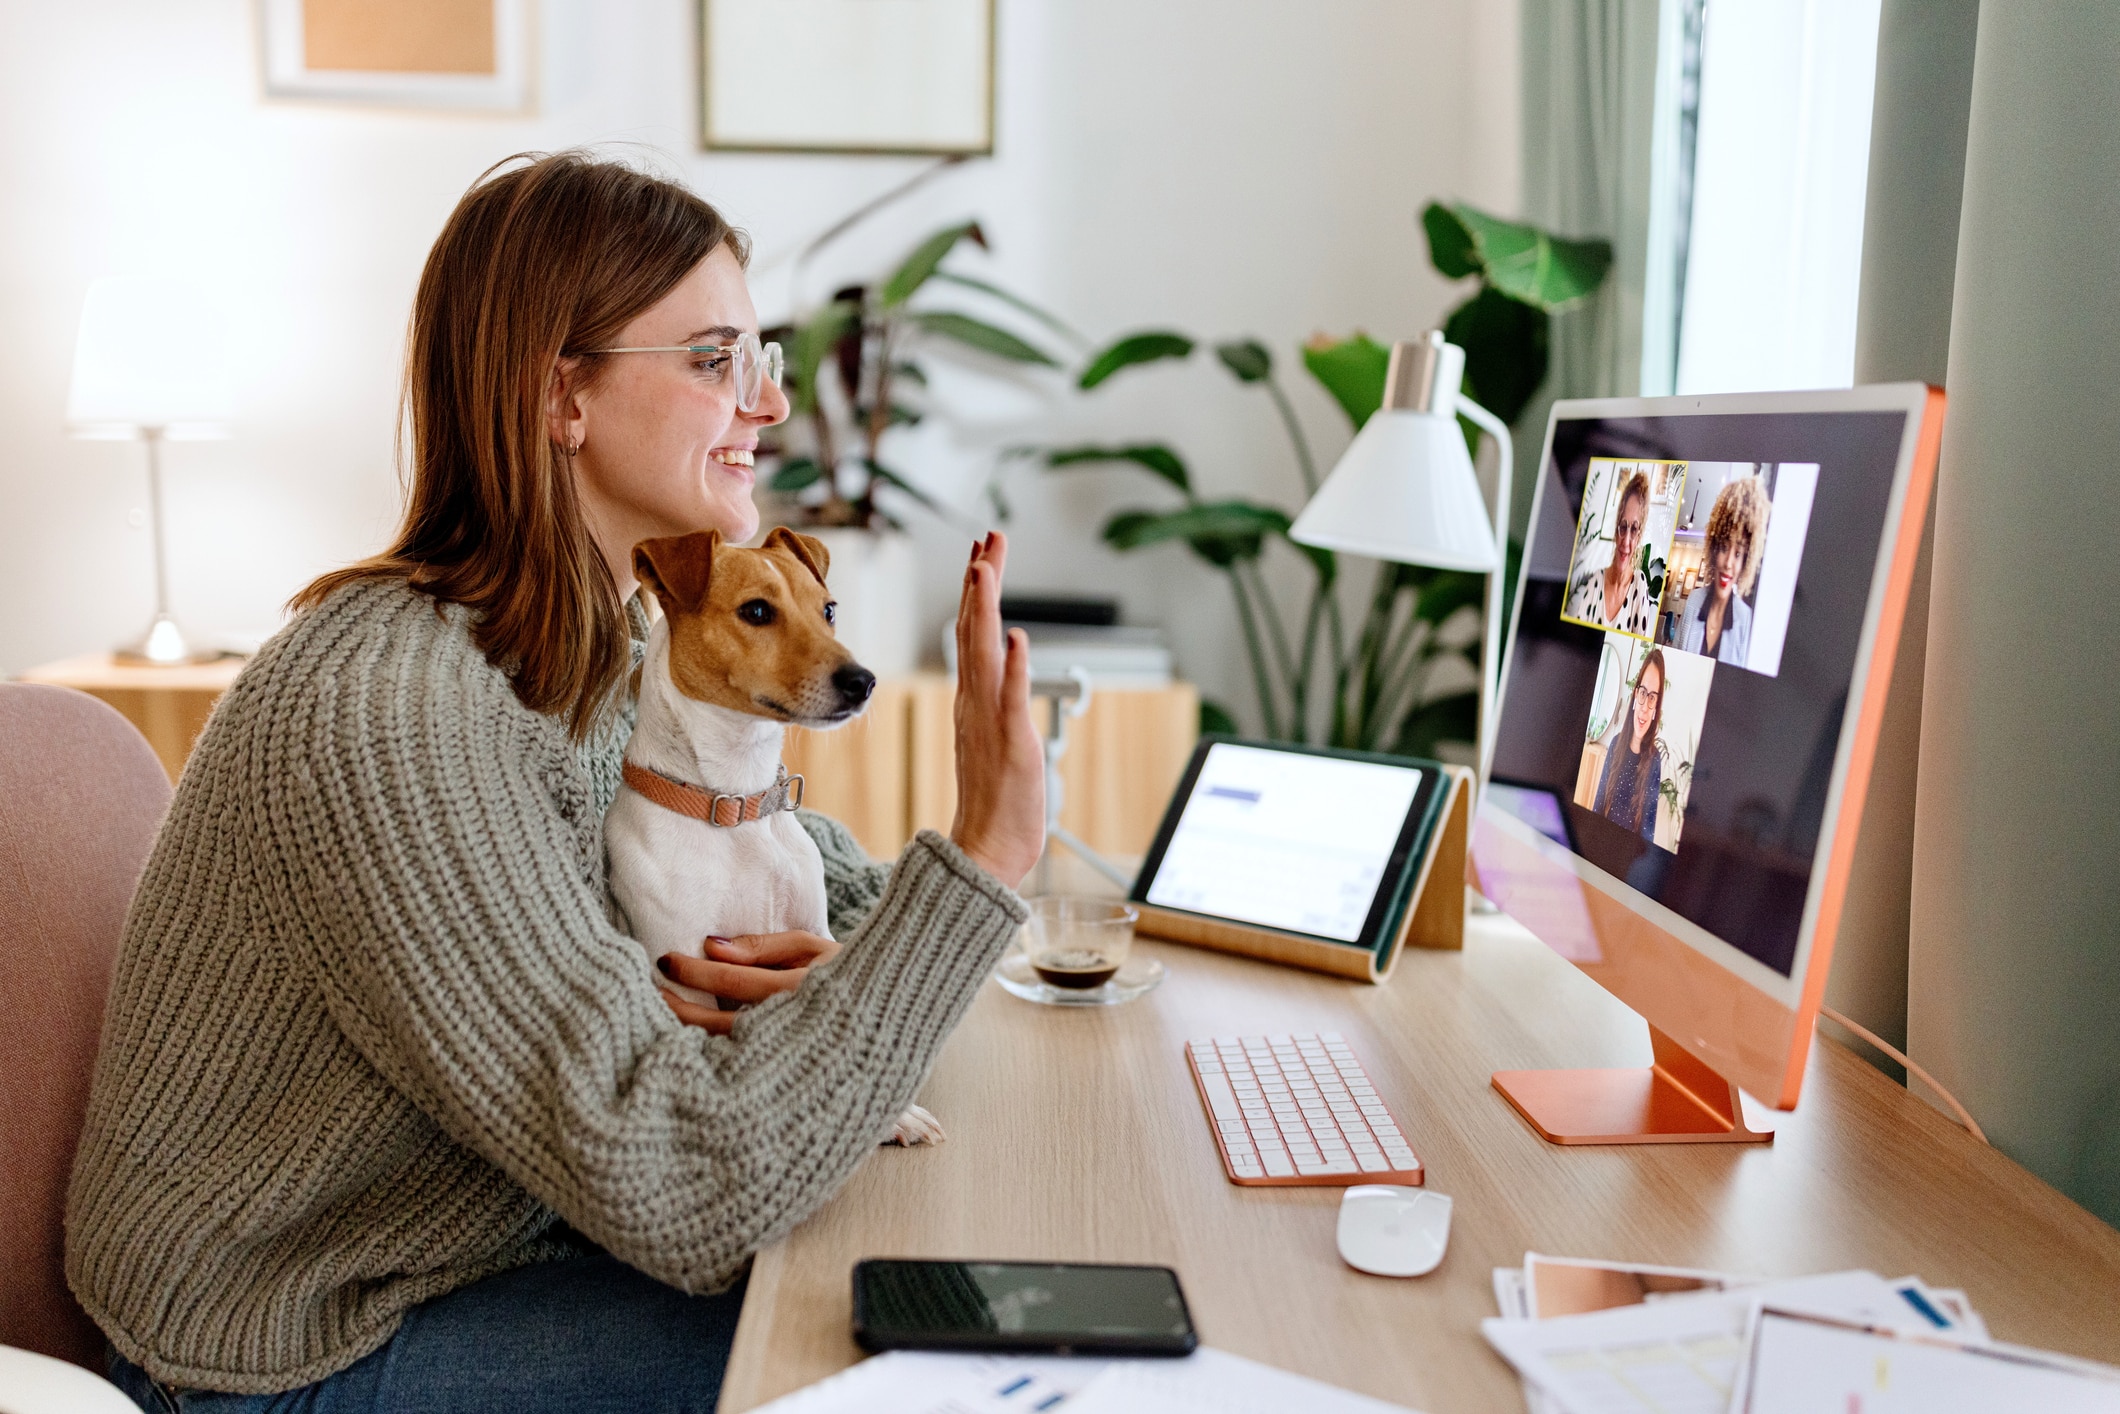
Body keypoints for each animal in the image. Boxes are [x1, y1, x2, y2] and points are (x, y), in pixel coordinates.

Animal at [614, 529, 945, 1153]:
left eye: (829, 610)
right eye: (757, 612)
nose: (864, 681)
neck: (736, 806)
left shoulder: (811, 930)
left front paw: (898, 1113)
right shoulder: (680, 967)